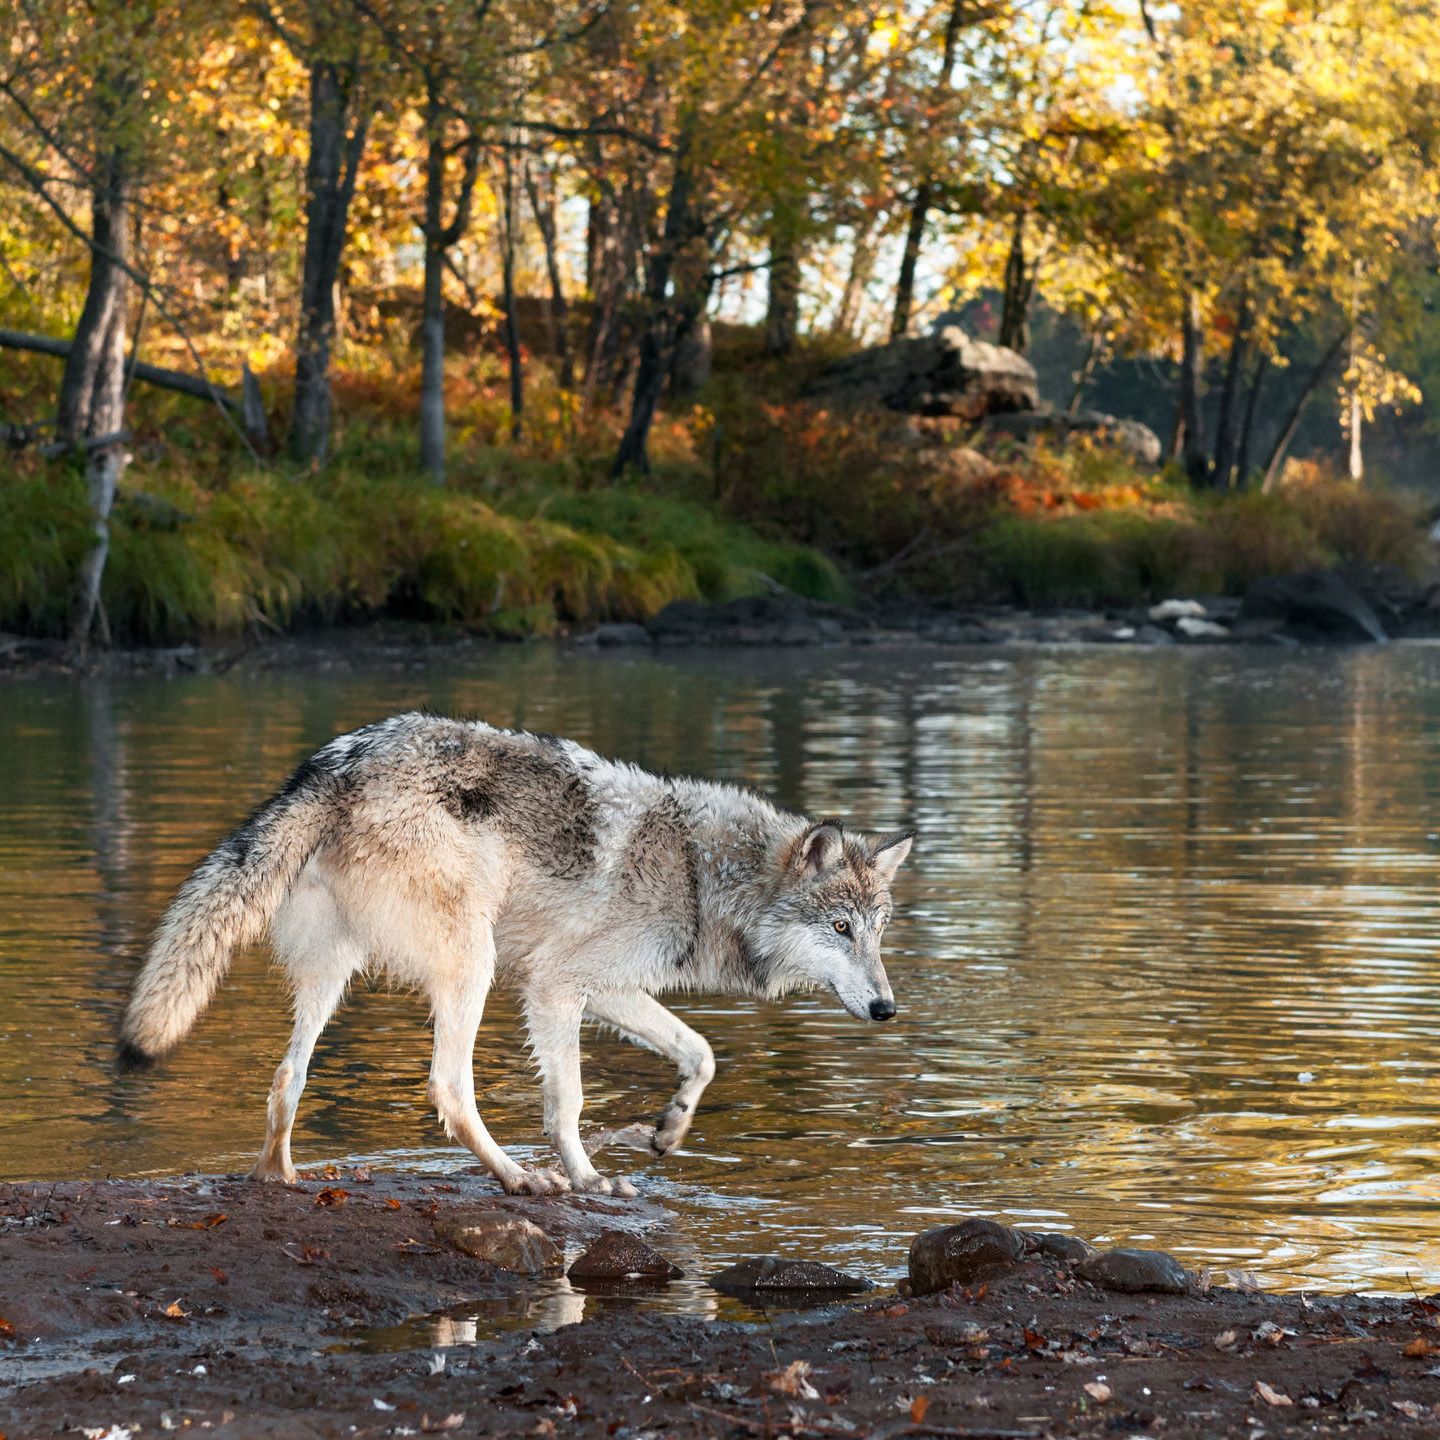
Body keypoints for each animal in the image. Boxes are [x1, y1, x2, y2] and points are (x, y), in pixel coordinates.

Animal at [120, 714, 910, 1198]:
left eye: (876, 933)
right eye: (840, 928)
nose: (886, 1008)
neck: (700, 872)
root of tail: (333, 767)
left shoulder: (608, 990)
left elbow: (702, 1052)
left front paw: (670, 1127)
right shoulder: (554, 987)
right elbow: (568, 1103)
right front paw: (589, 1179)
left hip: (333, 975)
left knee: (288, 1076)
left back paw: (277, 1177)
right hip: (473, 964)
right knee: (447, 1087)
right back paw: (518, 1179)